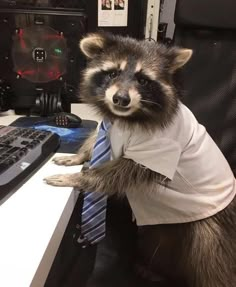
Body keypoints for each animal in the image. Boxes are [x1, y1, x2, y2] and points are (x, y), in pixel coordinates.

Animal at [44, 32, 236, 286]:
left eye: (143, 80)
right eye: (113, 73)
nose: (120, 99)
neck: (125, 116)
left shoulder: (161, 146)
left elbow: (120, 171)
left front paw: (80, 177)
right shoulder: (108, 125)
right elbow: (95, 137)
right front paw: (79, 155)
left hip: (212, 227)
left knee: (211, 256)